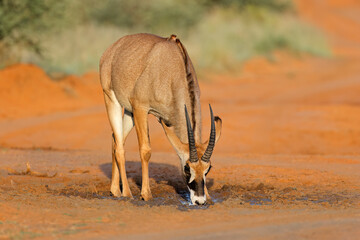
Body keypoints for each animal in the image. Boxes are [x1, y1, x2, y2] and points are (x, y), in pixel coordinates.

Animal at [99, 33, 222, 204]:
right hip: (112, 100)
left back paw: (115, 190)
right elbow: (146, 150)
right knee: (120, 147)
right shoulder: (141, 107)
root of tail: (112, 49)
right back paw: (127, 193)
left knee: (116, 140)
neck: (172, 70)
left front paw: (209, 196)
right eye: (186, 167)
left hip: (129, 112)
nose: (199, 200)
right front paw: (146, 194)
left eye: (208, 169)